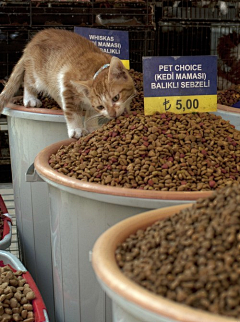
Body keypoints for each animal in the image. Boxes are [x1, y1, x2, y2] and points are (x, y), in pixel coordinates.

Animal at [0, 28, 135, 138]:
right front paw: (77, 129)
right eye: (101, 106)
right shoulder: (66, 83)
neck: (96, 70)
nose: (113, 115)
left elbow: (90, 111)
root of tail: (33, 41)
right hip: (38, 75)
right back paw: (30, 98)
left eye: (116, 98)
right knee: (28, 79)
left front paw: (92, 127)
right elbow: (72, 111)